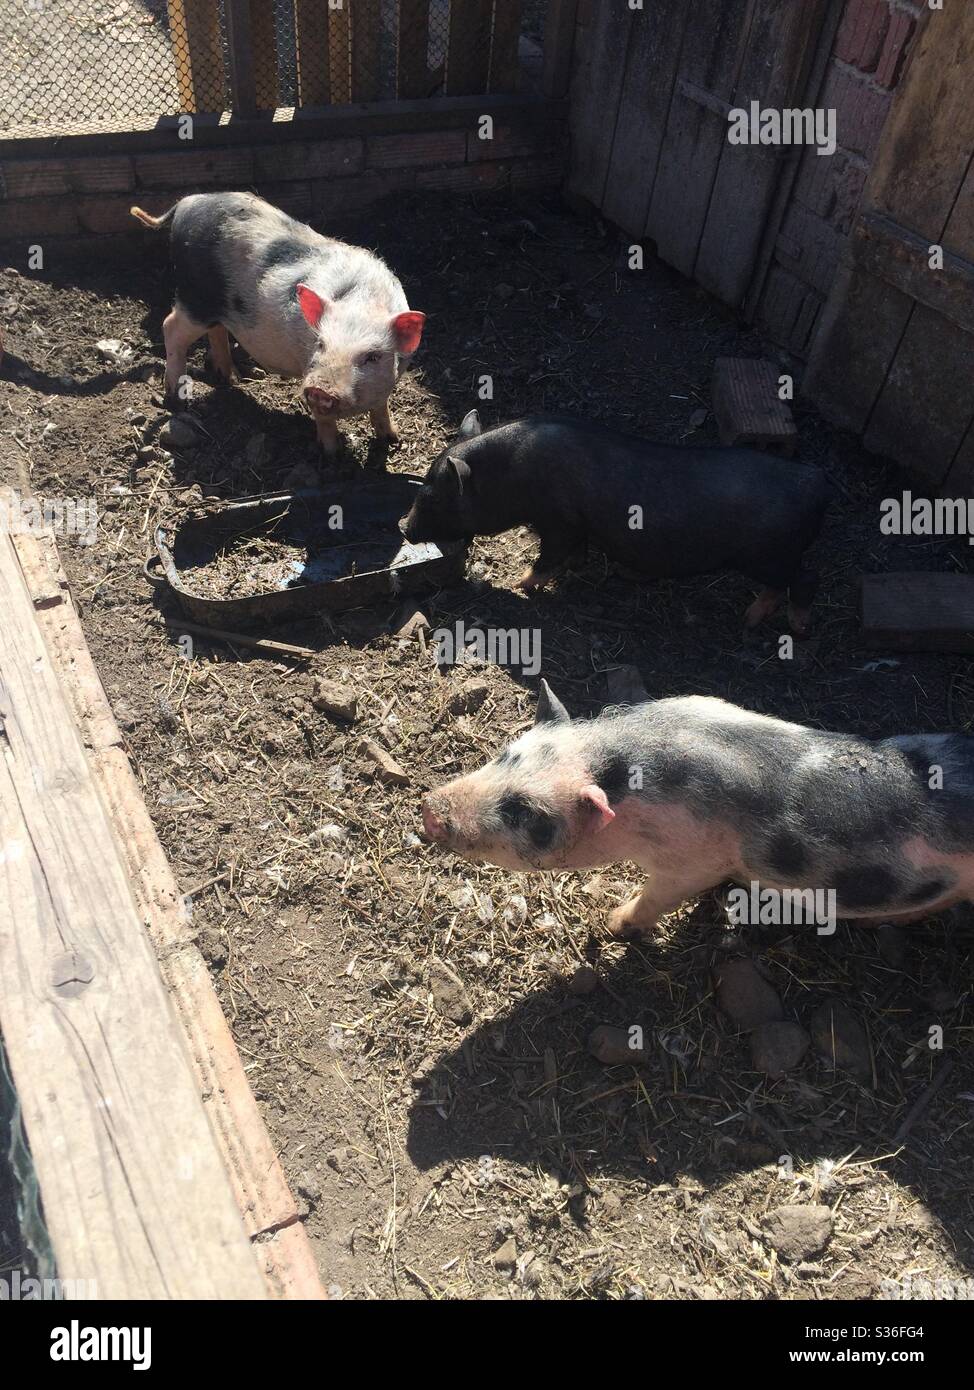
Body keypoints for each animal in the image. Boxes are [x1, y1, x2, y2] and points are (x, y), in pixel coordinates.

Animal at [422, 681, 972, 934]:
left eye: (523, 813)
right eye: (504, 755)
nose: (429, 809)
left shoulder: (692, 862)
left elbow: (659, 896)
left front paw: (612, 923)